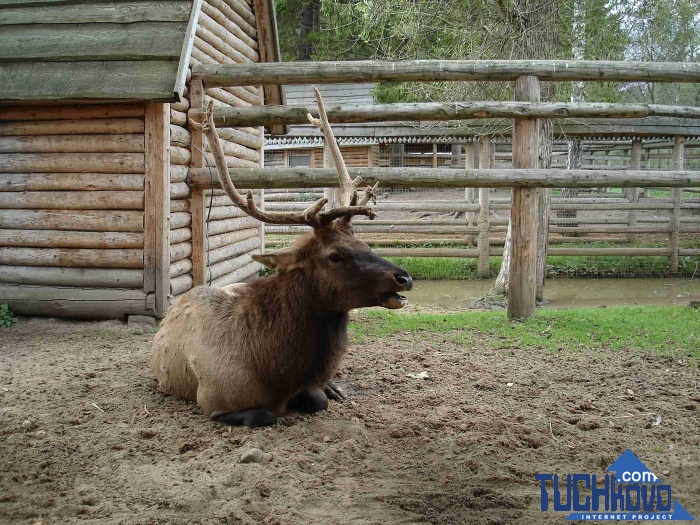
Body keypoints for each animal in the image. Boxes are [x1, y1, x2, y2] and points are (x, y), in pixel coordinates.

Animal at [148, 89, 410, 426]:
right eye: (335, 256)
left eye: (364, 243)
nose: (404, 277)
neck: (275, 370)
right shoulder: (212, 401)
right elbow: (267, 415)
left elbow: (317, 398)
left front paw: (327, 391)